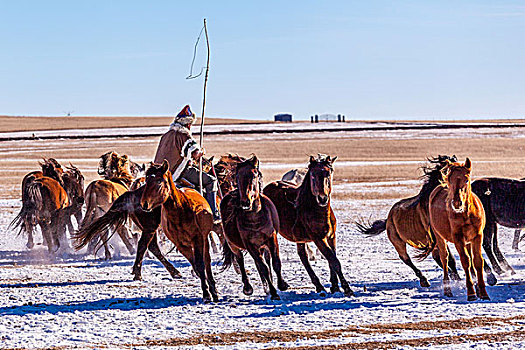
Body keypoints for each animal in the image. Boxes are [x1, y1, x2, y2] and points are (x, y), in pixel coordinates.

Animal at [139, 161, 217, 300]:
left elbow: (201, 264)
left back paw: (213, 289)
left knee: (207, 261)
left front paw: (208, 293)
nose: (144, 204)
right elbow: (196, 266)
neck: (180, 211)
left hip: (204, 239)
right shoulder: (181, 245)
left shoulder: (198, 239)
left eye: (159, 181)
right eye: (146, 180)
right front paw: (206, 290)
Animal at [219, 154, 288, 300]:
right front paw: (273, 293)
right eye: (237, 176)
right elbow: (263, 268)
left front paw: (281, 285)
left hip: (262, 246)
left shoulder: (271, 239)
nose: (245, 202)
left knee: (266, 260)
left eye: (254, 175)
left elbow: (275, 263)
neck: (255, 218)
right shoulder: (250, 245)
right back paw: (248, 288)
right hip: (234, 245)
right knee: (240, 260)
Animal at [262, 154, 352, 296]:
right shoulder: (319, 239)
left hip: (299, 238)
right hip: (272, 234)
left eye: (329, 173)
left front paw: (334, 287)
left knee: (302, 256)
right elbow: (334, 261)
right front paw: (347, 289)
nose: (322, 198)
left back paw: (319, 286)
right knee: (269, 256)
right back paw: (277, 285)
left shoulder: (331, 237)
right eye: (313, 175)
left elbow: (331, 260)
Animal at [428, 158, 490, 300]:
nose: (457, 203)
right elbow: (465, 261)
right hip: (440, 237)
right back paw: (448, 290)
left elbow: (477, 261)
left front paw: (483, 293)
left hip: (468, 241)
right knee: (444, 259)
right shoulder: (458, 239)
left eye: (466, 180)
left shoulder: (477, 236)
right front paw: (471, 293)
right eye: (449, 180)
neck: (466, 214)